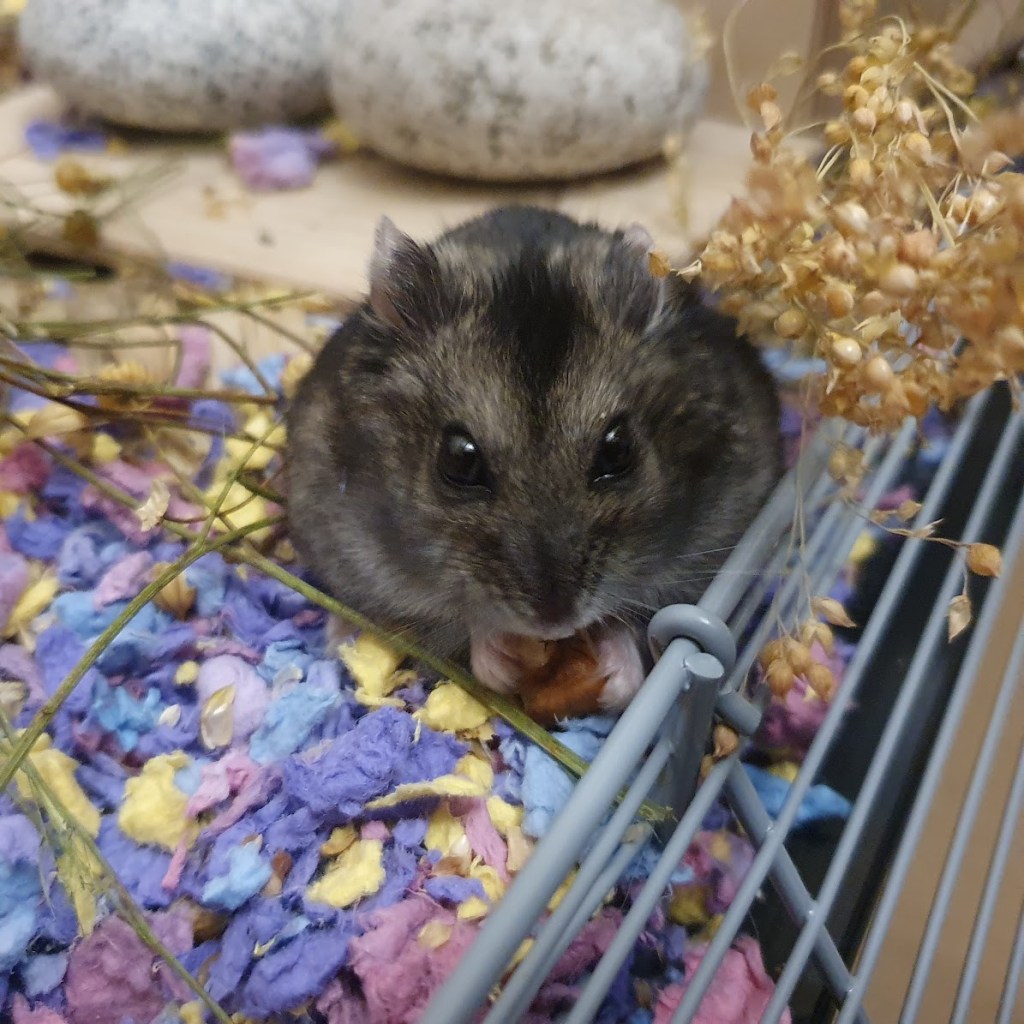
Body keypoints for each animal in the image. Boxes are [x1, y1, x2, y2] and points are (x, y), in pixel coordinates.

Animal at [286, 206, 782, 710]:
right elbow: (455, 623)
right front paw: (503, 664)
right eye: (459, 460)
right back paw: (339, 637)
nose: (557, 623)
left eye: (618, 449)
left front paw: (615, 679)